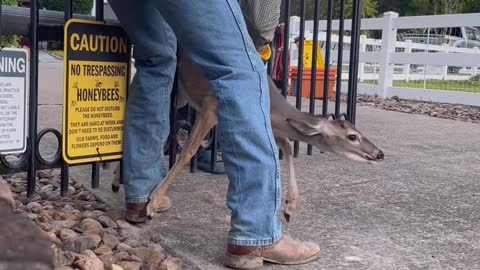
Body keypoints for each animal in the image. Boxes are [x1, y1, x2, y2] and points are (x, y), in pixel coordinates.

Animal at [110, 46, 384, 223]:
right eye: (352, 136)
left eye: (359, 131)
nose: (379, 153)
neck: (273, 106)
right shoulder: (210, 107)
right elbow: (188, 150)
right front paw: (152, 203)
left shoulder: (273, 125)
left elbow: (287, 148)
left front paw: (290, 208)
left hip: (181, 98)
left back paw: (117, 180)